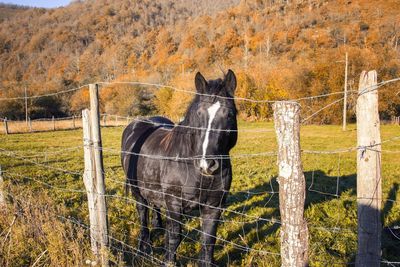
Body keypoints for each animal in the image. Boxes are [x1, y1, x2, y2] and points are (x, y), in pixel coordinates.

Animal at [122, 70, 238, 266]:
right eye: (199, 114)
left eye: (229, 114)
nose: (208, 164)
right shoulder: (174, 203)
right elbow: (175, 237)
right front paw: (168, 261)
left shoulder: (214, 206)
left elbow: (208, 241)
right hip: (138, 193)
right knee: (143, 217)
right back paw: (143, 248)